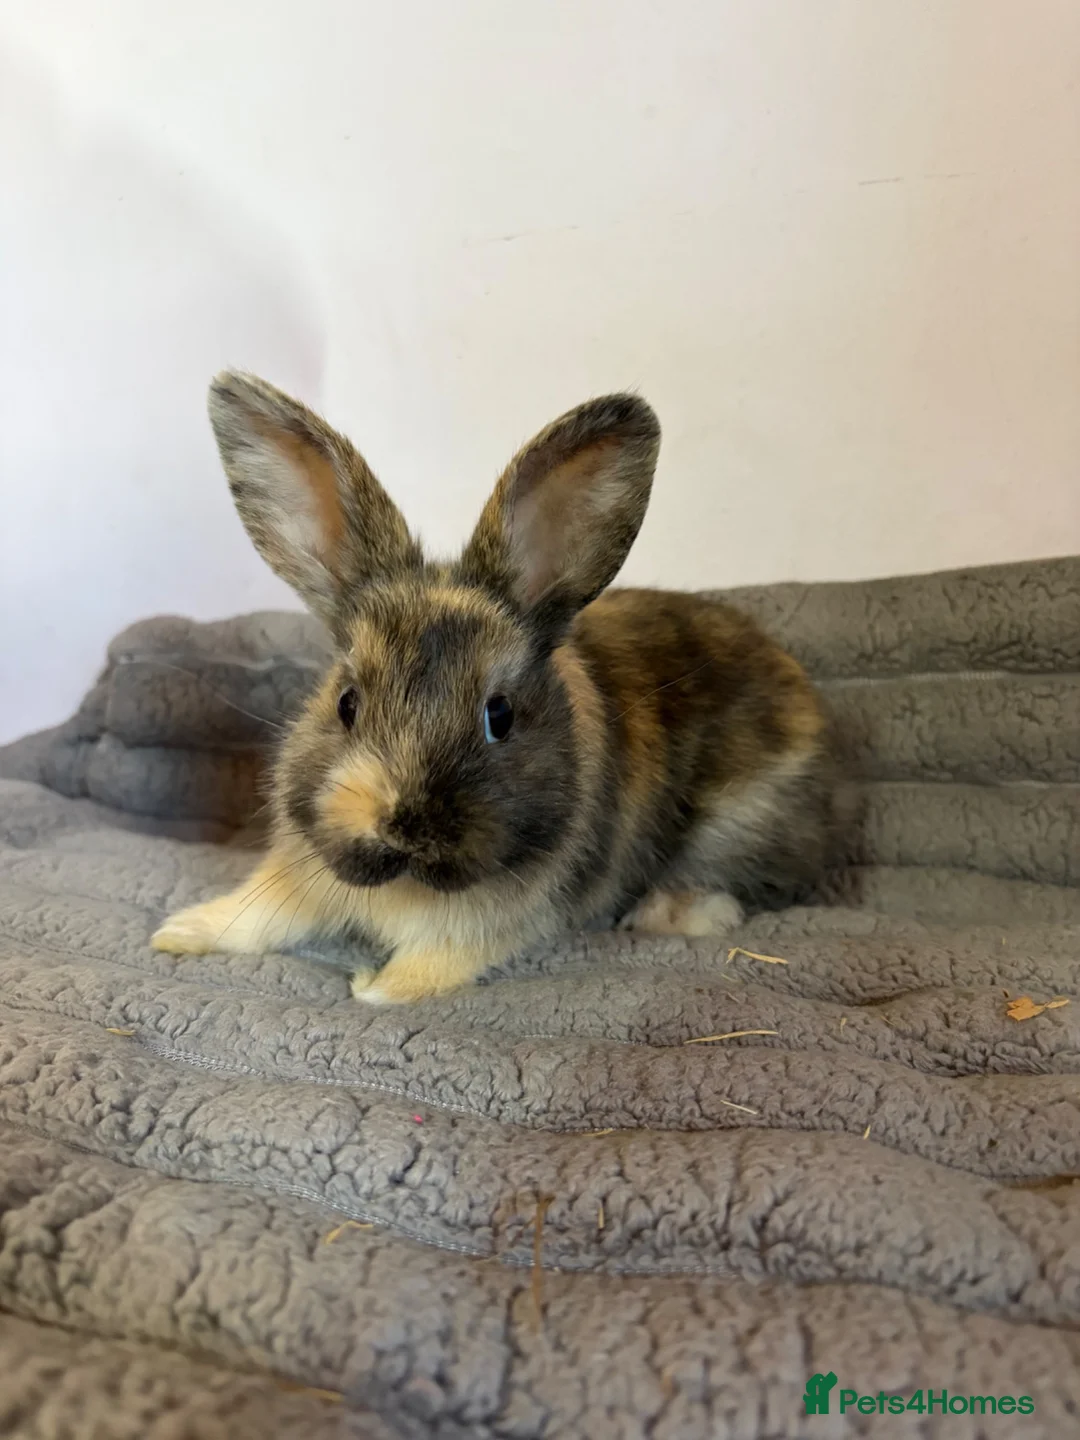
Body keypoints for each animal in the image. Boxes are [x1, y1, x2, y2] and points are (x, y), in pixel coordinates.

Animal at [151, 372, 835, 1004]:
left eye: (499, 716)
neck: (405, 886)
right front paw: (179, 933)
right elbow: (257, 917)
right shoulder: (298, 877)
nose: (405, 826)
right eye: (347, 703)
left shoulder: (488, 925)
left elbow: (432, 965)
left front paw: (375, 987)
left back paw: (672, 913)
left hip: (739, 823)